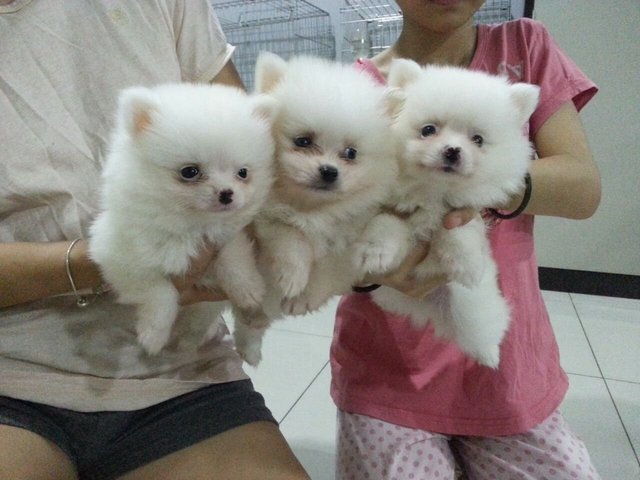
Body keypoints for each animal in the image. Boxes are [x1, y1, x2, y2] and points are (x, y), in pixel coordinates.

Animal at [89, 81, 276, 352]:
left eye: (242, 173)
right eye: (189, 172)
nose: (226, 193)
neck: (192, 228)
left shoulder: (228, 236)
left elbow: (232, 255)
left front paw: (247, 288)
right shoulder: (120, 259)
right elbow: (160, 291)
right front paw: (153, 335)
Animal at [231, 52, 404, 366]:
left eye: (351, 153)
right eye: (303, 141)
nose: (329, 171)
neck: (315, 210)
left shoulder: (348, 244)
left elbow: (328, 268)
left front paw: (302, 297)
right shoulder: (269, 222)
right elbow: (291, 238)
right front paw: (293, 276)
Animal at [360, 60, 540, 368]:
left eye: (477, 139)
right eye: (428, 130)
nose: (453, 150)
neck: (433, 190)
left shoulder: (462, 211)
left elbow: (457, 229)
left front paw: (466, 263)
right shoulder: (378, 208)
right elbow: (384, 223)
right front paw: (376, 252)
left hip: (471, 308)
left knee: (483, 327)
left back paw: (490, 354)